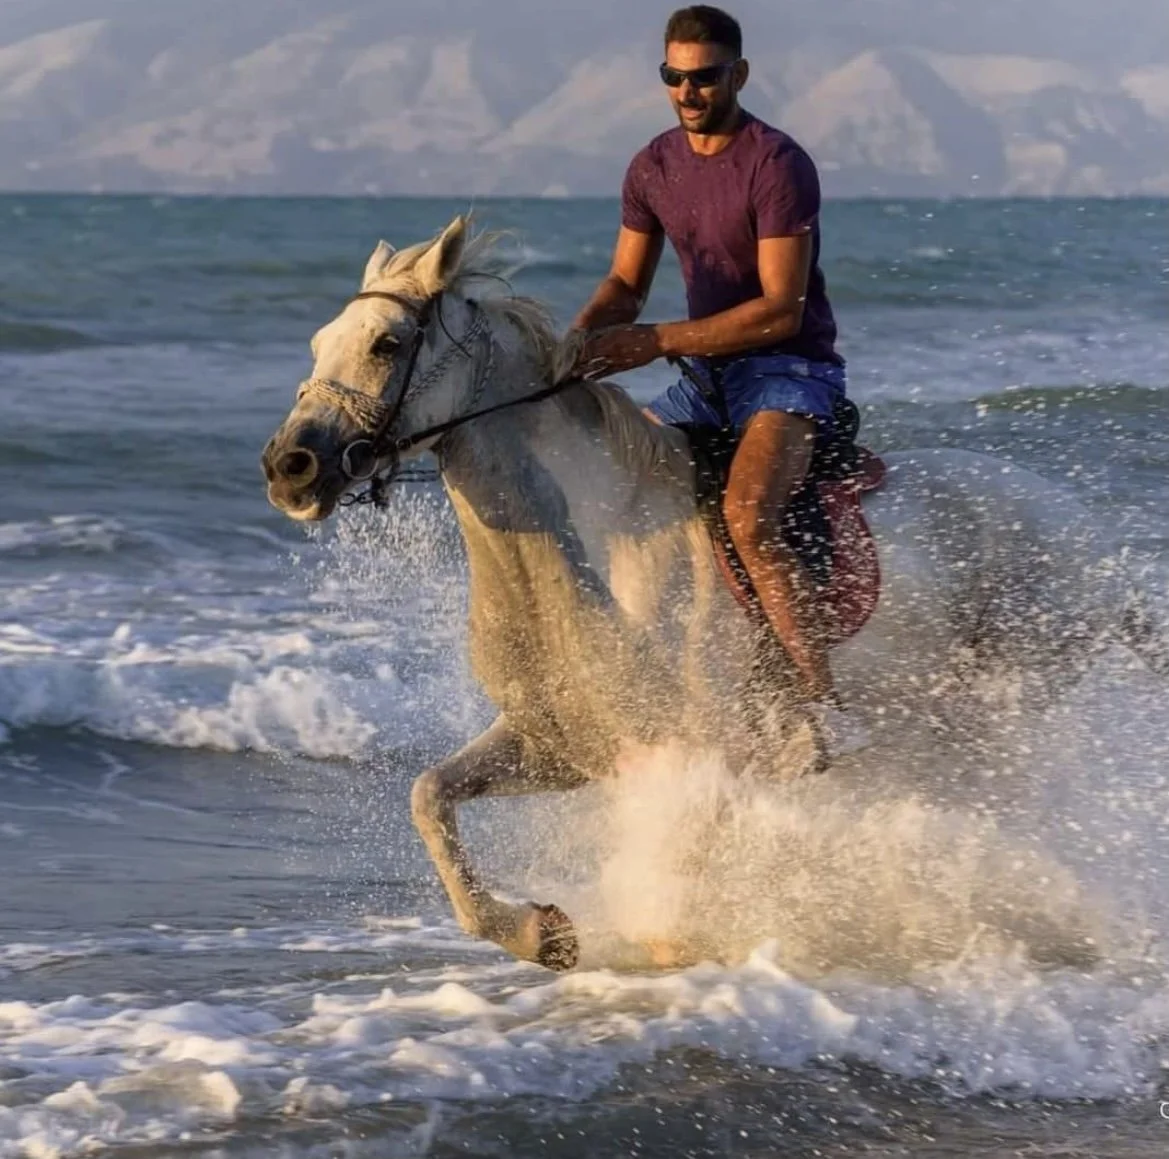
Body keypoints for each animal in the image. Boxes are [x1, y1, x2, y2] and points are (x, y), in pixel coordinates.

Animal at [262, 215, 1167, 971]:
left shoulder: (698, 758)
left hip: (988, 712)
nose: (288, 468)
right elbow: (429, 797)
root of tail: (1074, 526)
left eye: (386, 343)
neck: (587, 557)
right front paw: (539, 932)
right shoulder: (558, 743)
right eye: (318, 340)